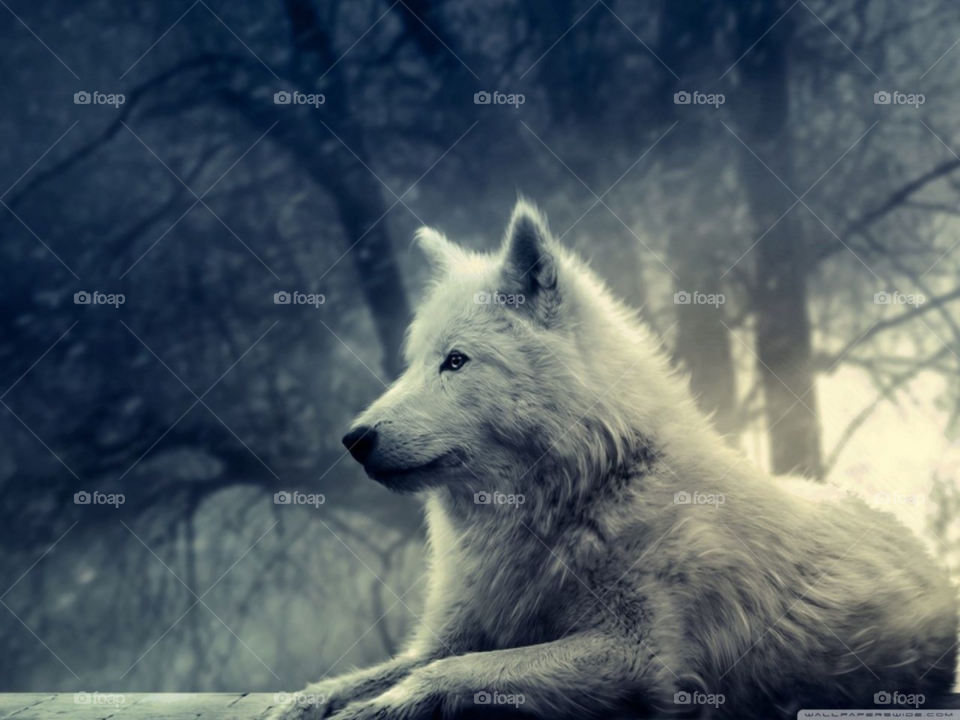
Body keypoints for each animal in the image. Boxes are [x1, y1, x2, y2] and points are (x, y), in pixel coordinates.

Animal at [272, 200, 958, 719]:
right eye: (413, 362)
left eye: (456, 361)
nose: (354, 438)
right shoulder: (449, 633)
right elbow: (372, 674)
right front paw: (304, 702)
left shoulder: (638, 656)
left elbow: (458, 671)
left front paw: (380, 707)